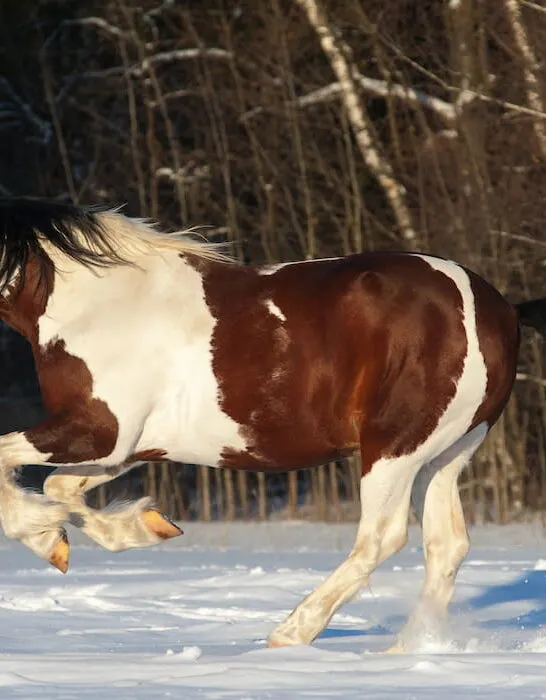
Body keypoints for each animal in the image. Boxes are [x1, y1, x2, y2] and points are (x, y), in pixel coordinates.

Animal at [0, 196, 543, 652]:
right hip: (445, 455)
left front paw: (46, 535)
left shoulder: (99, 430)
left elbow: (11, 462)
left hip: (395, 448)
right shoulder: (128, 448)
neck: (93, 304)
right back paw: (408, 651)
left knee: (382, 537)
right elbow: (59, 488)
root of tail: (500, 309)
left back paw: (293, 632)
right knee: (446, 544)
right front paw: (135, 529)